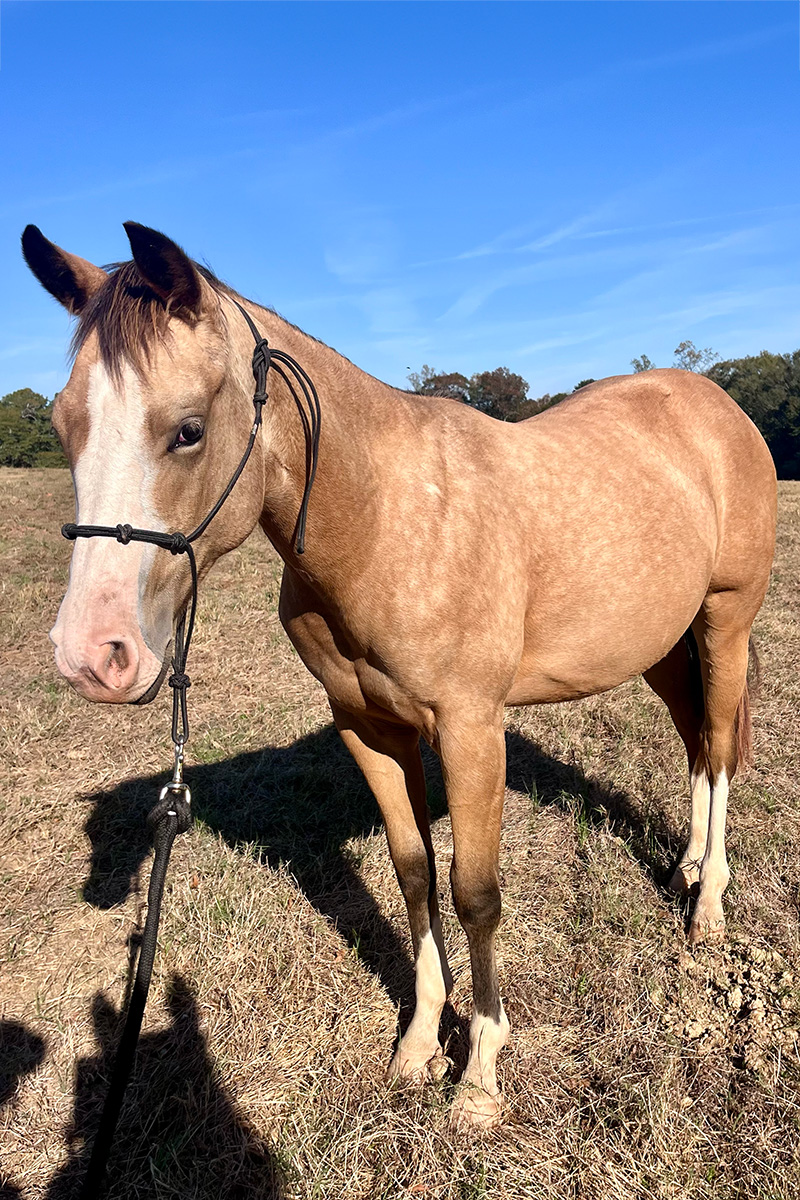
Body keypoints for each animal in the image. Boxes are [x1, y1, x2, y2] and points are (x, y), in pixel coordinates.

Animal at [23, 223, 777, 1123]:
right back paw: (689, 865)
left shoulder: (471, 730)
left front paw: (479, 1074)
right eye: (64, 423)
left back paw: (708, 907)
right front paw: (419, 1043)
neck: (385, 519)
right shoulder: (370, 728)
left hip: (726, 619)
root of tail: (717, 407)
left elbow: (475, 892)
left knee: (722, 749)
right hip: (661, 643)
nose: (91, 654)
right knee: (697, 741)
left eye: (188, 430)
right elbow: (413, 873)